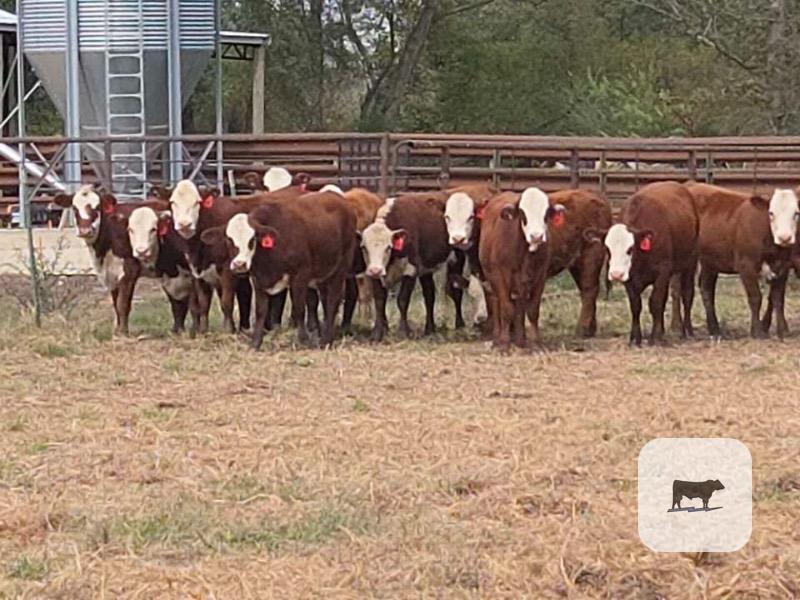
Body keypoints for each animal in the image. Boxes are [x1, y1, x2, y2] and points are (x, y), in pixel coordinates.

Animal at [199, 192, 358, 349]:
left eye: (252, 239)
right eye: (229, 239)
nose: (240, 264)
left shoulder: (300, 275)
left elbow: (299, 308)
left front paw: (303, 340)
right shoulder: (258, 279)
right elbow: (260, 311)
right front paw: (255, 343)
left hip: (340, 269)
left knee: (333, 301)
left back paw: (326, 340)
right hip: (324, 274)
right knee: (326, 301)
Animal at [360, 192, 470, 342]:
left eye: (388, 247)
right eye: (364, 247)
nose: (375, 270)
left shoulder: (410, 270)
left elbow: (402, 300)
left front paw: (403, 332)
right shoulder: (376, 275)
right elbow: (380, 301)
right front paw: (377, 333)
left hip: (457, 259)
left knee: (456, 292)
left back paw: (459, 324)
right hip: (426, 269)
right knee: (429, 295)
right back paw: (429, 329)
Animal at [478, 188, 566, 351]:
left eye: (546, 213)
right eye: (523, 213)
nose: (536, 236)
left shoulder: (540, 276)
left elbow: (532, 310)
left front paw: (535, 343)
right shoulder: (500, 274)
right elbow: (506, 308)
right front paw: (504, 344)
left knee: (520, 306)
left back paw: (520, 340)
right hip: (492, 278)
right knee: (496, 302)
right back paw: (497, 339)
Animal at [587, 181, 699, 346]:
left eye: (630, 249)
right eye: (607, 248)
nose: (616, 274)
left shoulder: (662, 271)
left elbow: (656, 302)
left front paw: (655, 336)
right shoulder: (630, 278)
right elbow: (636, 306)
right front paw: (635, 337)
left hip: (689, 263)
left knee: (687, 294)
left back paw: (687, 330)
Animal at [686, 183, 798, 339]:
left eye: (796, 213)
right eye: (771, 213)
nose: (784, 237)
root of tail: (691, 184)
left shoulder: (783, 267)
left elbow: (777, 298)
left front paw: (782, 331)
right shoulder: (746, 265)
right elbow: (755, 297)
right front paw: (757, 331)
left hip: (710, 261)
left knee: (706, 289)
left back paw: (714, 329)